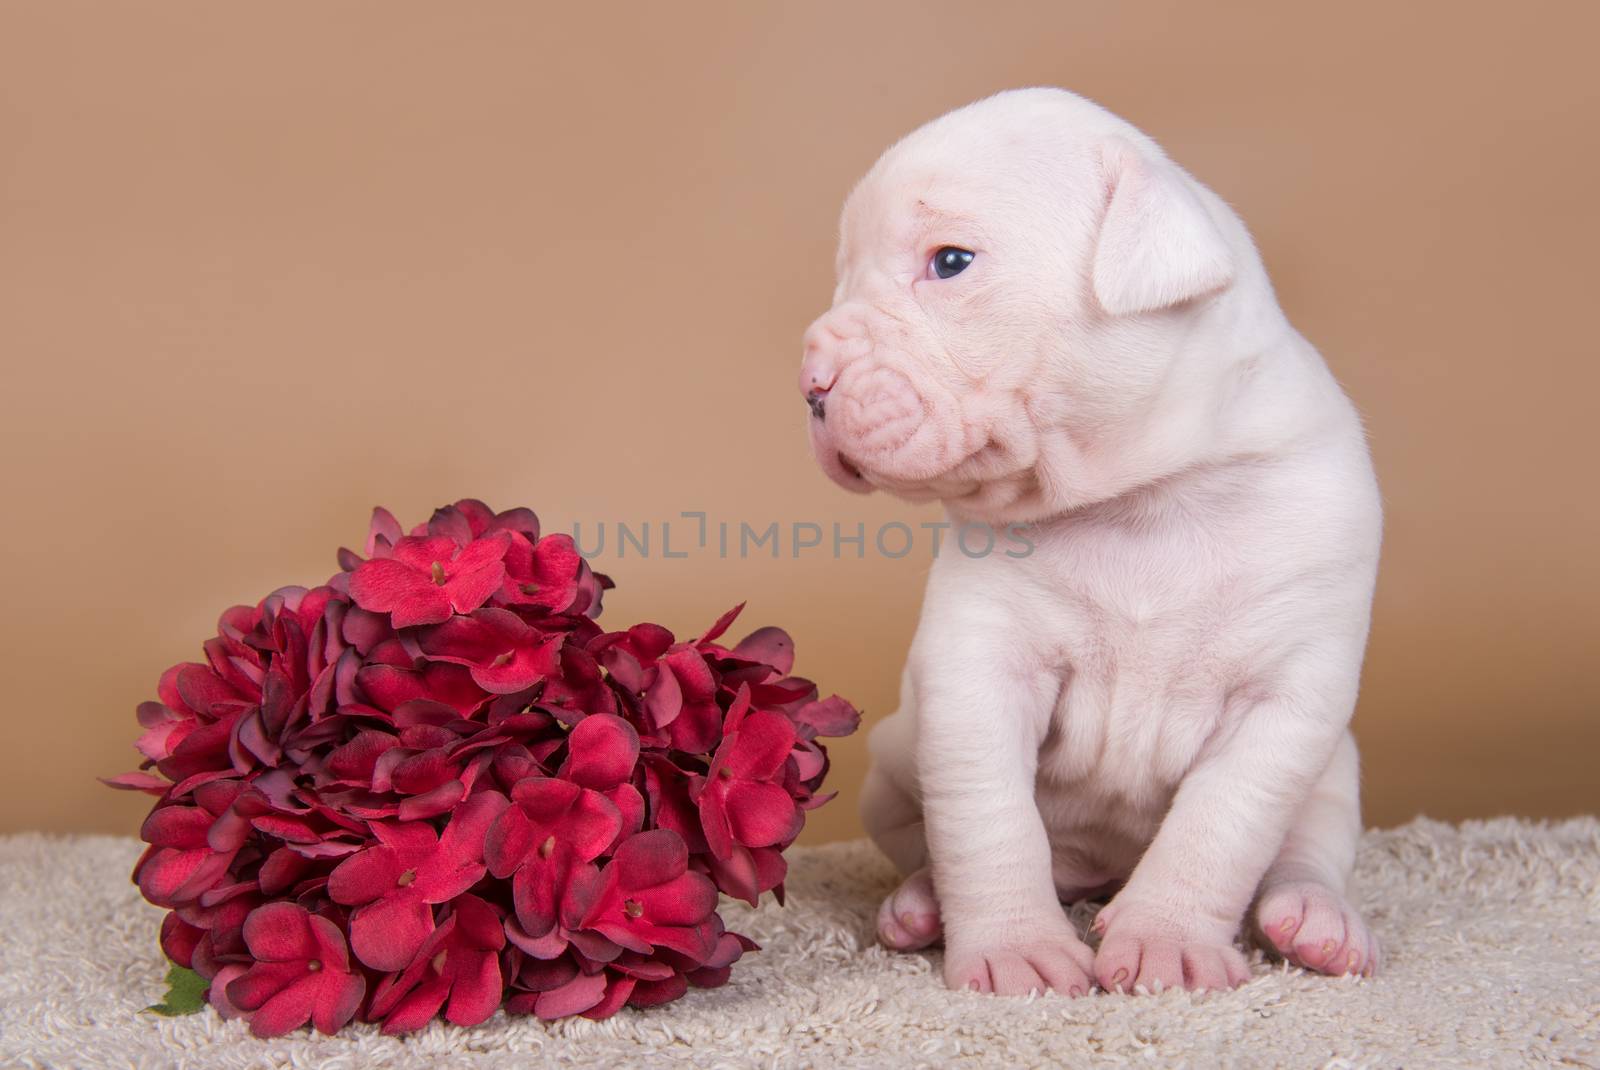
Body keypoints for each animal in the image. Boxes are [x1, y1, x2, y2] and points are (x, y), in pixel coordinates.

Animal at [806, 89, 1382, 991]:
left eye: (949, 262)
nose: (811, 385)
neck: (1143, 497)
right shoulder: (979, 675)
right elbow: (987, 820)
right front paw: (1014, 949)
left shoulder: (1286, 699)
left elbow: (1220, 829)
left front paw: (1169, 941)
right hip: (896, 757)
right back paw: (924, 903)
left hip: (1335, 772)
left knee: (1305, 850)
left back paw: (1315, 922)